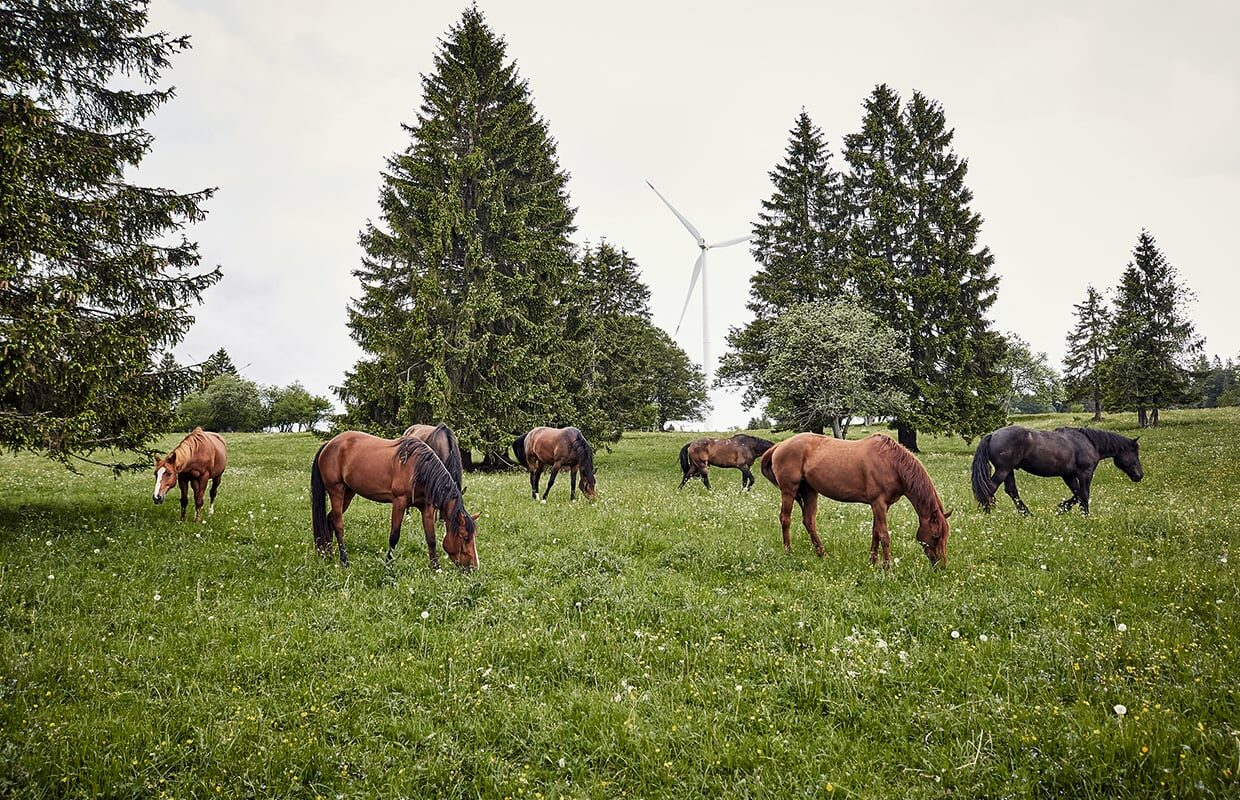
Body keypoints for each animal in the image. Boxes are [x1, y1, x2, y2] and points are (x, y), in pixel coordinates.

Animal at [310, 431, 478, 568]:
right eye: (464, 537)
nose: (474, 567)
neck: (418, 468)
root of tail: (328, 445)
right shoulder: (399, 502)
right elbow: (394, 536)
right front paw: (388, 564)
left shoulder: (426, 508)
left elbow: (431, 538)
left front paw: (436, 568)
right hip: (336, 491)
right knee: (338, 525)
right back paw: (344, 561)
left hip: (348, 493)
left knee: (330, 519)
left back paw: (329, 555)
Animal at [753, 431, 947, 568]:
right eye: (936, 536)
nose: (941, 566)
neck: (891, 463)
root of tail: (780, 445)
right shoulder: (878, 503)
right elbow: (884, 535)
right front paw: (887, 567)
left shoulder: (881, 506)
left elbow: (875, 532)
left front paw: (873, 562)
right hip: (789, 490)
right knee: (785, 519)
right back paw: (788, 551)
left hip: (809, 491)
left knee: (809, 521)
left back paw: (822, 554)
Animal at [967, 421, 1140, 515]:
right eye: (1135, 453)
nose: (1140, 475)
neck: (1088, 442)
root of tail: (992, 435)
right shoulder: (1085, 473)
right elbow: (1084, 494)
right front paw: (1085, 516)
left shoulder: (1068, 475)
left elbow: (1077, 494)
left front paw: (1061, 509)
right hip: (1003, 470)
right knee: (990, 488)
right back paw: (987, 513)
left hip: (1008, 470)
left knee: (1011, 491)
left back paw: (1027, 514)